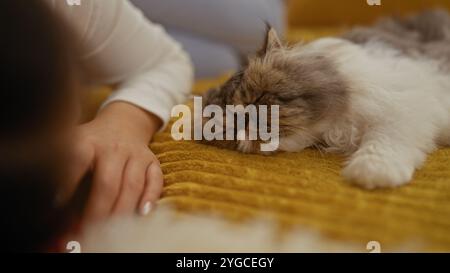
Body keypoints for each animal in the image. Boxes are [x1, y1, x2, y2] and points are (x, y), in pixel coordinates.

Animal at [202, 9, 450, 188]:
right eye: (233, 127)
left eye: (259, 99)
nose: (248, 122)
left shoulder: (403, 102)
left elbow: (382, 140)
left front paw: (370, 173)